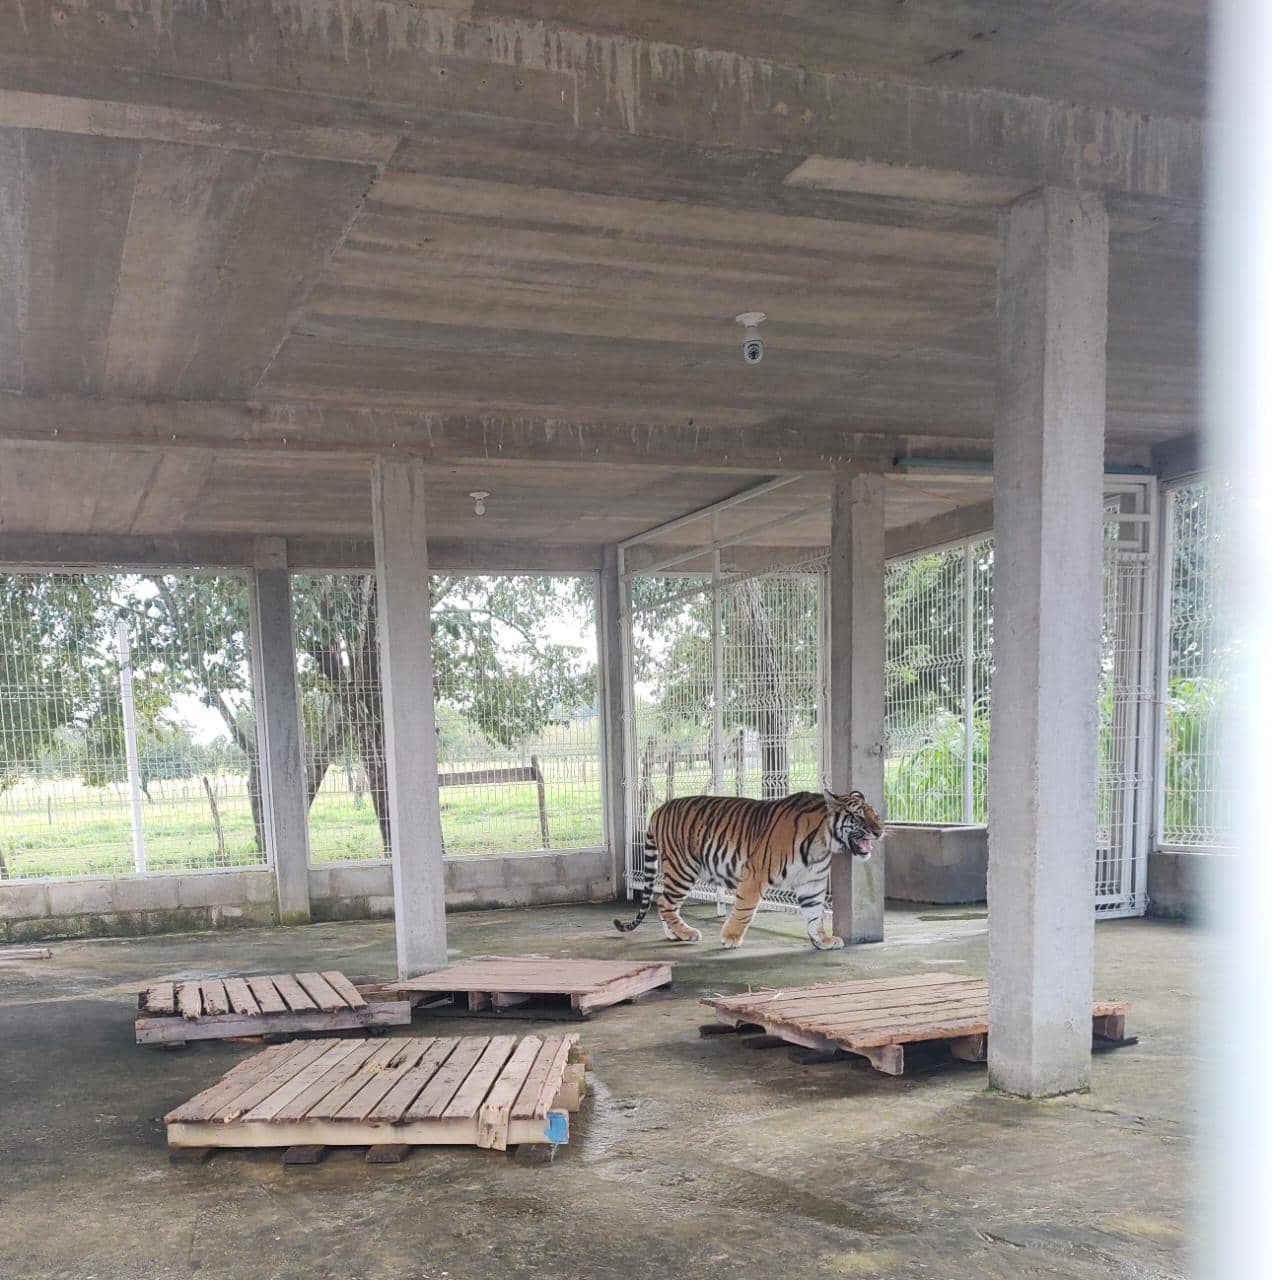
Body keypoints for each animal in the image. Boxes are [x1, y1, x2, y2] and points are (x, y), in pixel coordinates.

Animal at [614, 788, 880, 952]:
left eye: (876, 815)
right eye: (857, 817)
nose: (879, 832)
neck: (824, 843)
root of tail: (659, 809)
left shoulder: (811, 883)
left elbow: (815, 914)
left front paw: (822, 940)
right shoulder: (755, 872)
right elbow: (745, 909)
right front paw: (730, 937)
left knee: (662, 900)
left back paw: (674, 934)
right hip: (683, 868)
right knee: (665, 902)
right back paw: (687, 933)